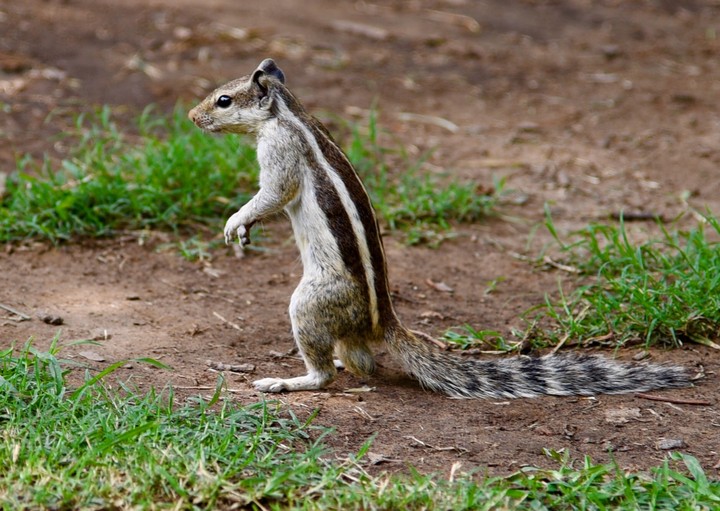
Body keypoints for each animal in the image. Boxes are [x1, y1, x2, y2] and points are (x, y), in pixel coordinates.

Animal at [188, 58, 691, 398]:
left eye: (223, 100)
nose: (192, 118)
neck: (285, 112)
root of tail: (382, 323)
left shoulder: (281, 151)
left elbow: (274, 193)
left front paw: (237, 221)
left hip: (312, 301)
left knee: (328, 370)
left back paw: (290, 381)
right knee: (362, 363)